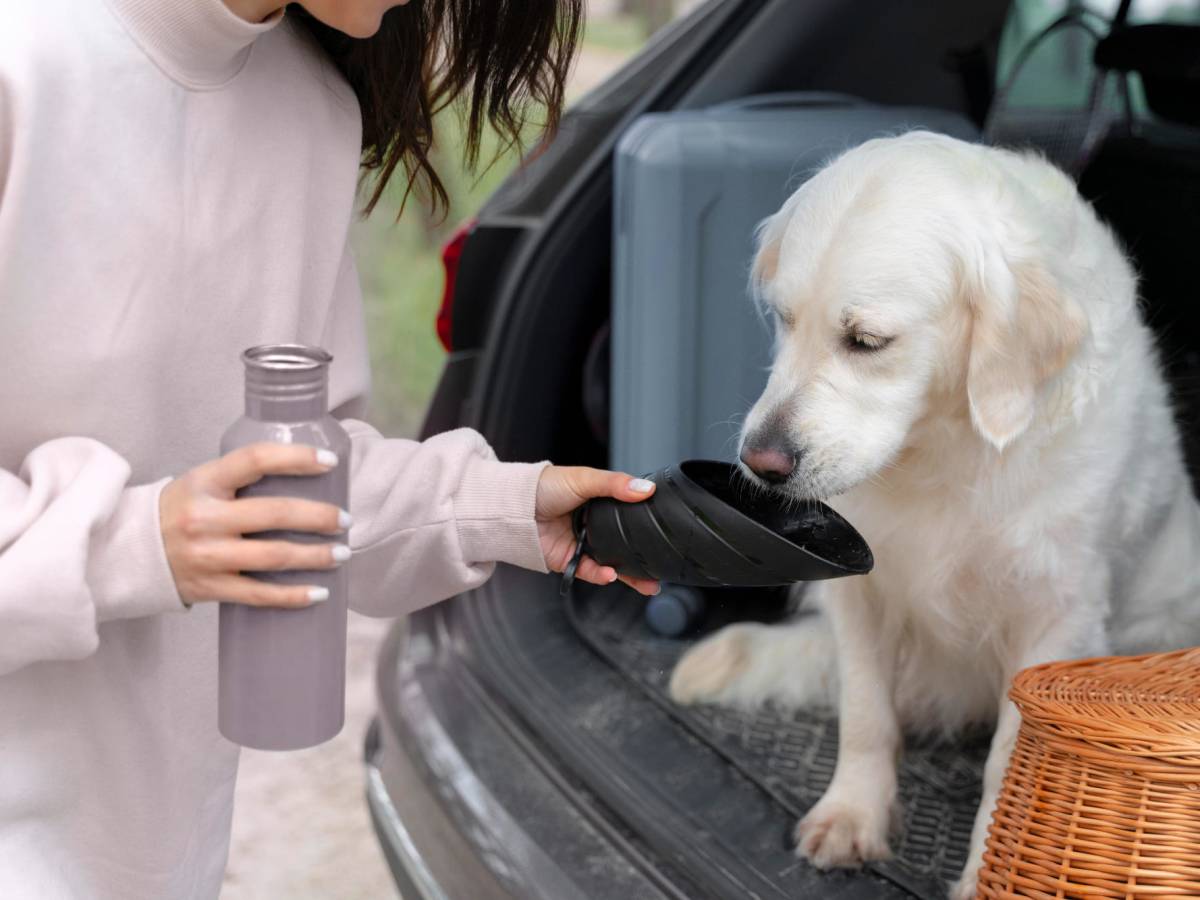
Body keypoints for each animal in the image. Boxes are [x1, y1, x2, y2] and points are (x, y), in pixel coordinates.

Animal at [672, 132, 1200, 900]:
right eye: (785, 319)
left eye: (867, 341)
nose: (759, 462)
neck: (945, 445)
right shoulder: (858, 591)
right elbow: (865, 714)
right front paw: (851, 816)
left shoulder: (1056, 616)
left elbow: (1010, 759)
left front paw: (989, 874)